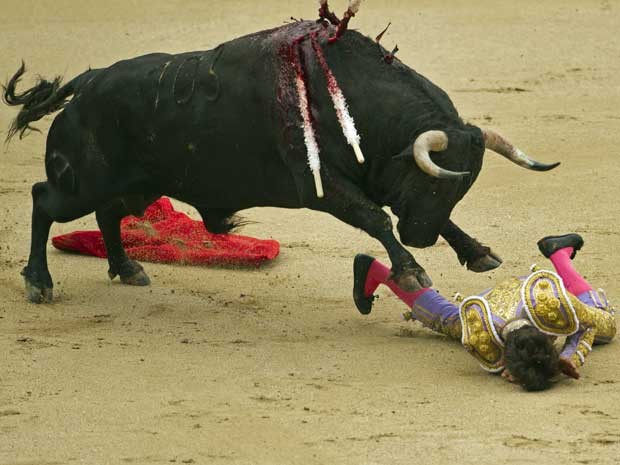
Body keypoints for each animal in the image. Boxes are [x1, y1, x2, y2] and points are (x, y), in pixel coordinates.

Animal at [2, 20, 560, 304]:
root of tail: (88, 81)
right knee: (43, 201)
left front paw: (477, 252)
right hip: (83, 182)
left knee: (108, 214)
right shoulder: (323, 187)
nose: (420, 237)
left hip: (138, 184)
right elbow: (377, 220)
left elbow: (427, 219)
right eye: (433, 182)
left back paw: (127, 268)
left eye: (459, 187)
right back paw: (39, 282)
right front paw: (411, 270)